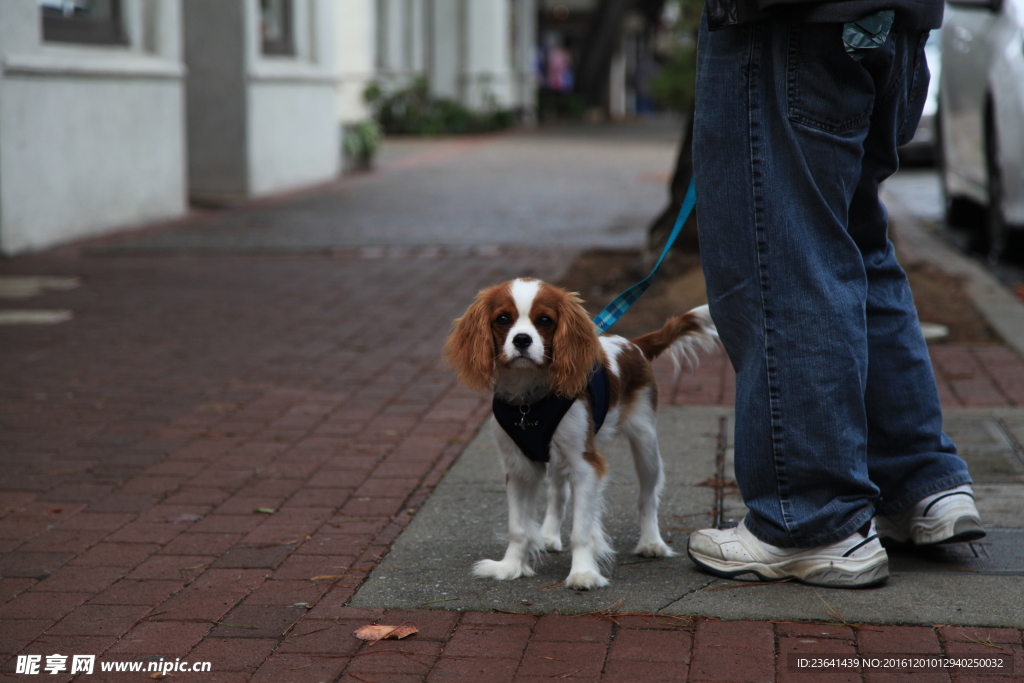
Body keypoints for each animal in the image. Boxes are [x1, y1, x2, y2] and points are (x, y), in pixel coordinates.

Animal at [442, 276, 720, 589]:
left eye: (545, 321)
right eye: (502, 319)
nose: (522, 340)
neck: (529, 400)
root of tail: (632, 345)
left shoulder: (585, 464)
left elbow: (581, 531)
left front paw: (583, 573)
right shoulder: (519, 467)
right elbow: (518, 527)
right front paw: (511, 566)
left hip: (645, 440)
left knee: (647, 495)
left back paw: (651, 543)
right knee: (558, 493)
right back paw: (549, 535)